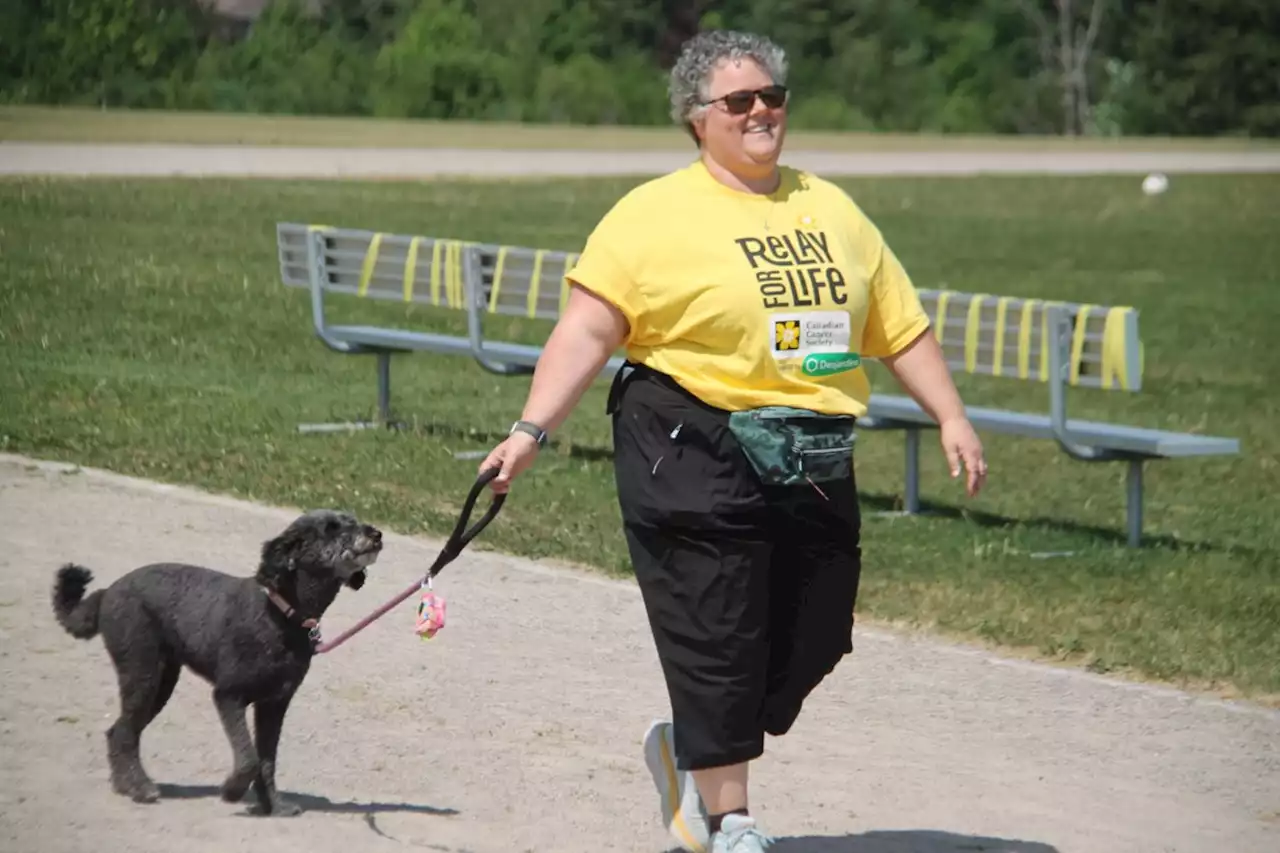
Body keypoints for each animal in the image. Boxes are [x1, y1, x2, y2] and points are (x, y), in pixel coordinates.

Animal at [51, 507, 378, 814]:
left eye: (353, 520)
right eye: (331, 528)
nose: (376, 534)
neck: (281, 613)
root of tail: (106, 593)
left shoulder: (274, 704)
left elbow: (267, 760)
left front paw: (273, 805)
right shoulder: (228, 696)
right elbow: (249, 759)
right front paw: (232, 791)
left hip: (161, 682)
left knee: (118, 731)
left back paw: (124, 784)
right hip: (142, 673)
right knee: (124, 733)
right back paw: (140, 788)